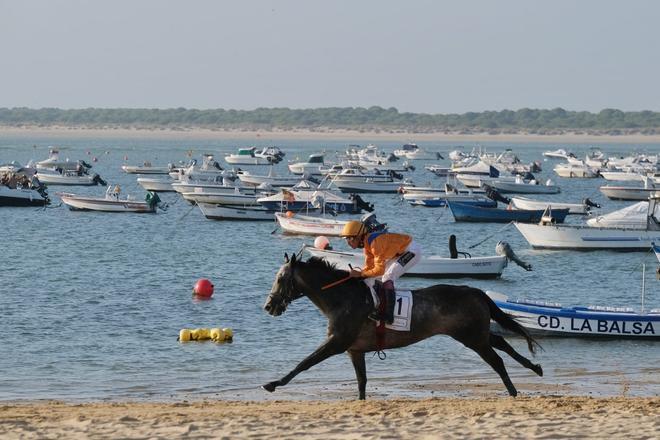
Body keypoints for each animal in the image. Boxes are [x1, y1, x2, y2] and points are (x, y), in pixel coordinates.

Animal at [260, 253, 544, 400]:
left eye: (280, 278)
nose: (269, 306)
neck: (342, 298)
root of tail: (475, 291)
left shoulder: (337, 342)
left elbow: (304, 363)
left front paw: (273, 383)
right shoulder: (355, 350)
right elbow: (361, 381)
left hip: (472, 337)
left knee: (497, 360)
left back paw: (513, 391)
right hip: (474, 334)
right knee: (502, 342)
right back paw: (534, 368)